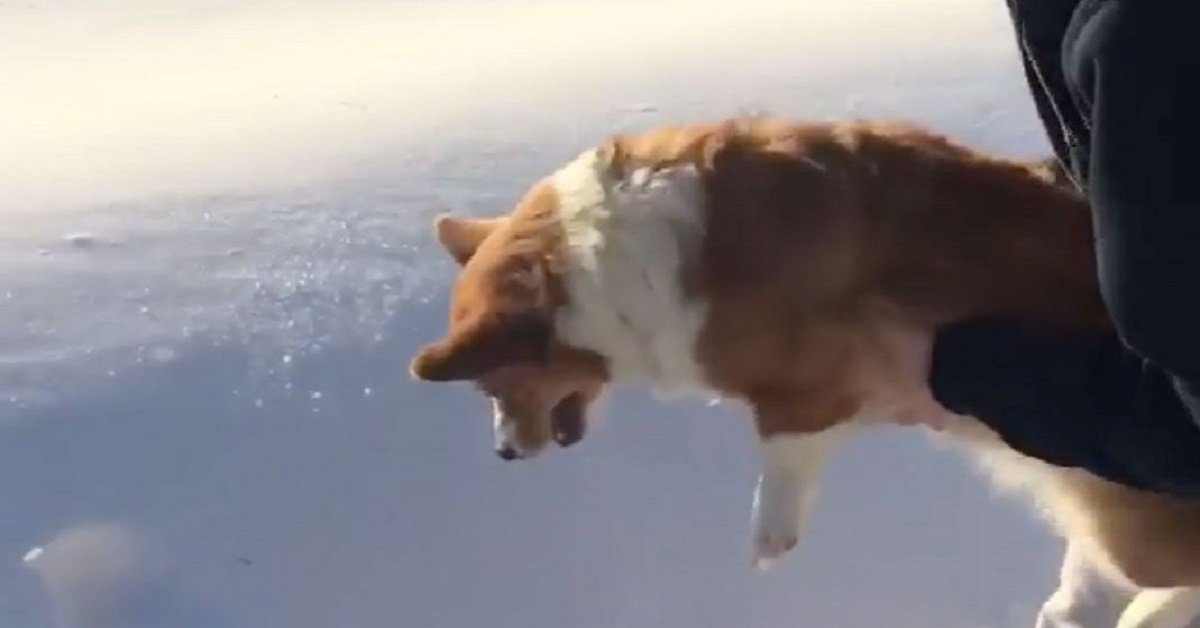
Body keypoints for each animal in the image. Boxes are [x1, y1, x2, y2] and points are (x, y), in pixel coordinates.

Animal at [410, 119, 1200, 628]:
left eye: (494, 387)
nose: (502, 454)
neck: (595, 256)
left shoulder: (812, 380)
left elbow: (782, 447)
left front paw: (768, 539)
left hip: (1128, 532)